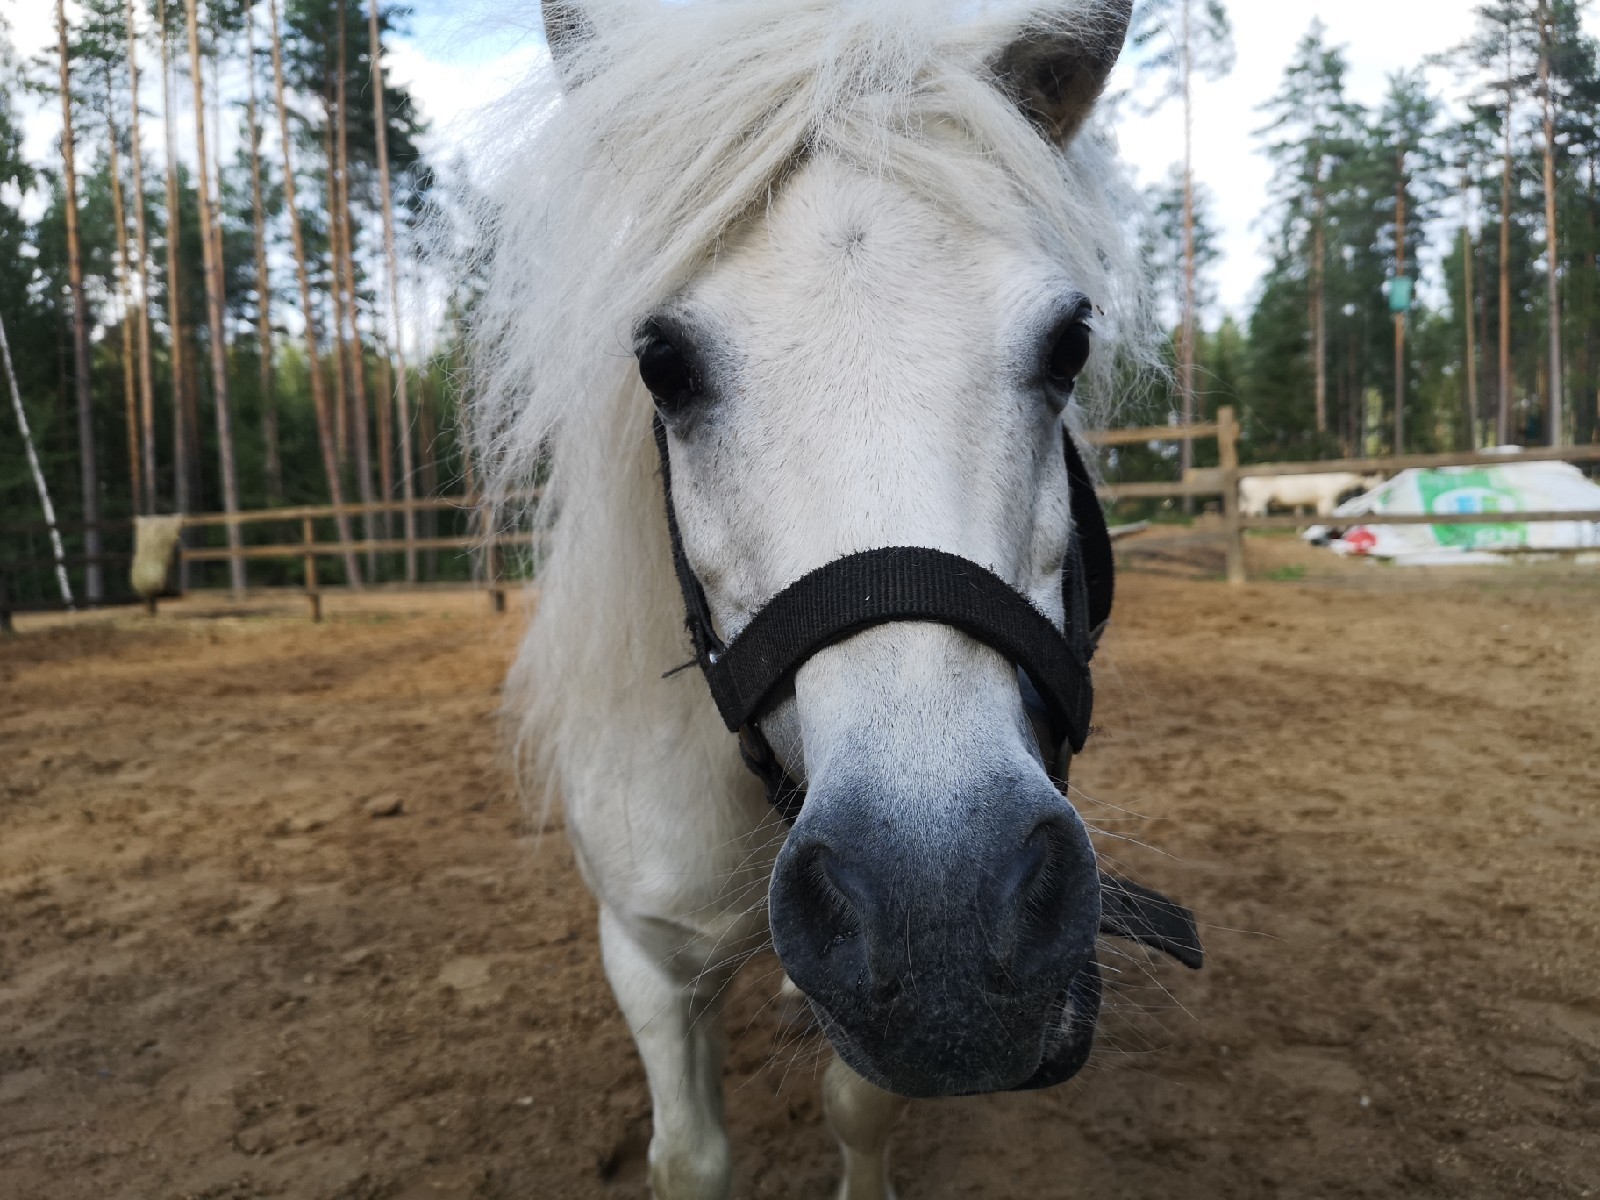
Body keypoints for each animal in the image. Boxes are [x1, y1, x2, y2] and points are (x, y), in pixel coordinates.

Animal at [460, 4, 1152, 1196]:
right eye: (661, 364)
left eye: (1069, 342)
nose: (941, 914)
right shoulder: (643, 953)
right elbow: (690, 1157)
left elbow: (857, 1105)